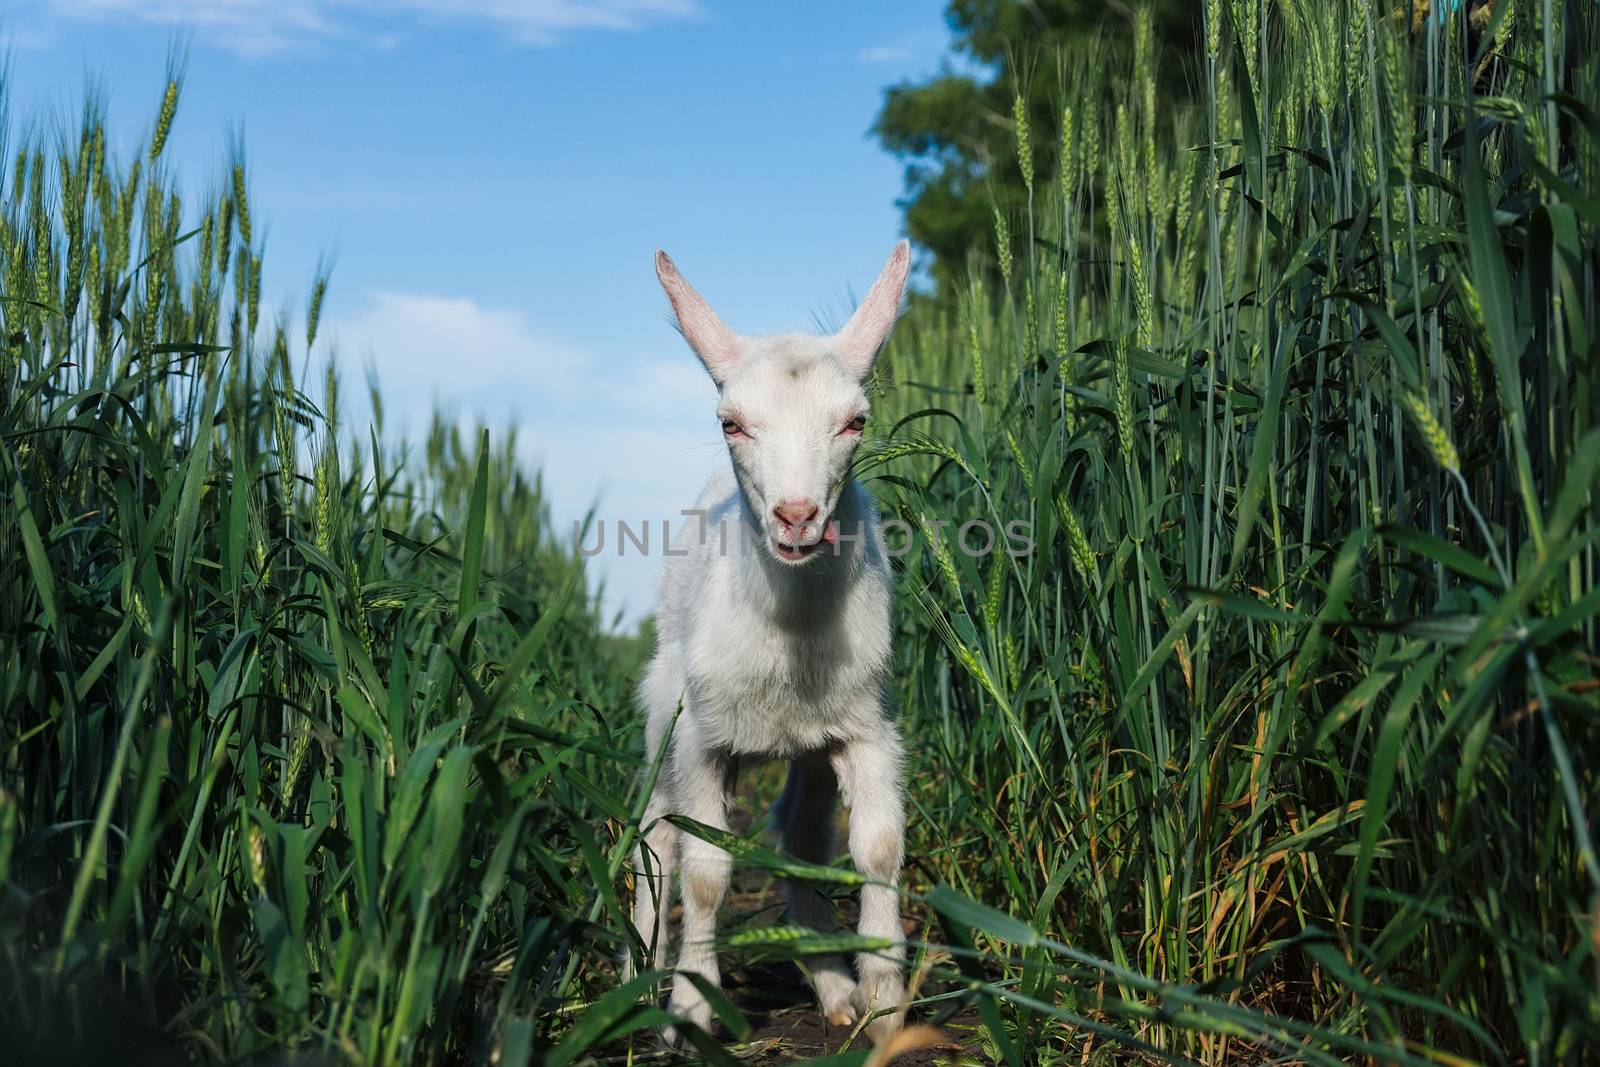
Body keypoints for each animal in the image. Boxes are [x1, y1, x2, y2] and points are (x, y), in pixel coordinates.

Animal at [630, 239, 921, 1043]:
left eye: (856, 421)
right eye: (731, 422)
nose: (797, 517)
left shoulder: (865, 725)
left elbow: (877, 847)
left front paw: (884, 1002)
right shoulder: (700, 740)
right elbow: (704, 871)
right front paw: (692, 1006)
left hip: (813, 747)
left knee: (800, 834)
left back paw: (833, 985)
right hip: (661, 711)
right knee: (654, 837)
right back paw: (639, 978)